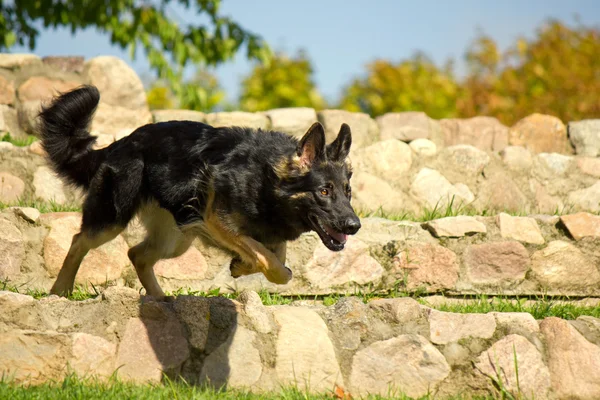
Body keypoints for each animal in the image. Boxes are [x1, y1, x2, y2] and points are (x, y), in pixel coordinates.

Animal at [41, 86, 360, 296]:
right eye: (324, 191)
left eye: (347, 192)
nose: (354, 226)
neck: (266, 181)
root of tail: (120, 144)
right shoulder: (218, 221)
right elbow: (275, 266)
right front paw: (248, 264)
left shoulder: (256, 231)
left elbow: (273, 256)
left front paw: (240, 266)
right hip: (112, 220)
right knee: (79, 241)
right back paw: (60, 290)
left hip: (176, 239)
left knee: (137, 254)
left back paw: (159, 300)